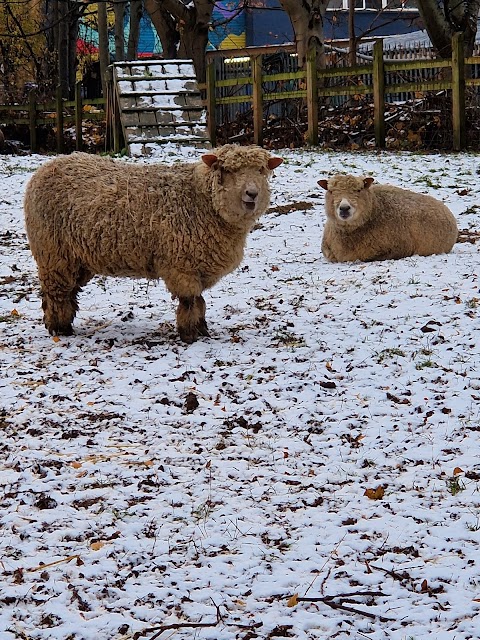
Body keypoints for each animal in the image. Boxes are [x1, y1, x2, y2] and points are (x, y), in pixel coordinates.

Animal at [23, 145, 282, 342]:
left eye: (261, 170)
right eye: (227, 170)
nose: (251, 194)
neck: (201, 200)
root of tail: (44, 168)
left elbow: (200, 301)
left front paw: (202, 330)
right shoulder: (181, 265)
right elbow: (190, 301)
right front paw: (190, 334)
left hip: (77, 258)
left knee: (67, 293)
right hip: (53, 252)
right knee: (56, 293)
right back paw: (59, 328)